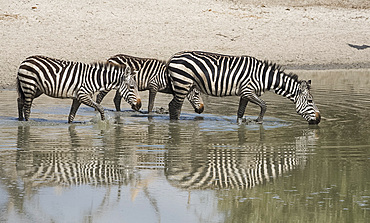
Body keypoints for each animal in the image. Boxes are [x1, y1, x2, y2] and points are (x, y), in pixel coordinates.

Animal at [168, 50, 320, 124]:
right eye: (310, 101)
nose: (318, 120)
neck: (263, 77)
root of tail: (173, 56)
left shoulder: (244, 95)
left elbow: (240, 113)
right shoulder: (248, 91)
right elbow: (264, 105)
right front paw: (258, 121)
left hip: (184, 85)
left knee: (173, 106)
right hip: (182, 83)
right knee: (175, 106)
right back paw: (175, 126)